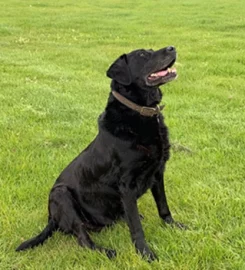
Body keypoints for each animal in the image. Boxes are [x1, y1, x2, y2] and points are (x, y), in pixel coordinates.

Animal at [16, 46, 185, 262]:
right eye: (142, 55)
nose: (172, 47)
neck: (140, 113)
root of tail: (51, 217)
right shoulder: (126, 184)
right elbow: (137, 228)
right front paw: (145, 253)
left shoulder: (157, 172)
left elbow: (163, 207)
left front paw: (174, 226)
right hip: (61, 194)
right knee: (83, 238)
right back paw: (107, 252)